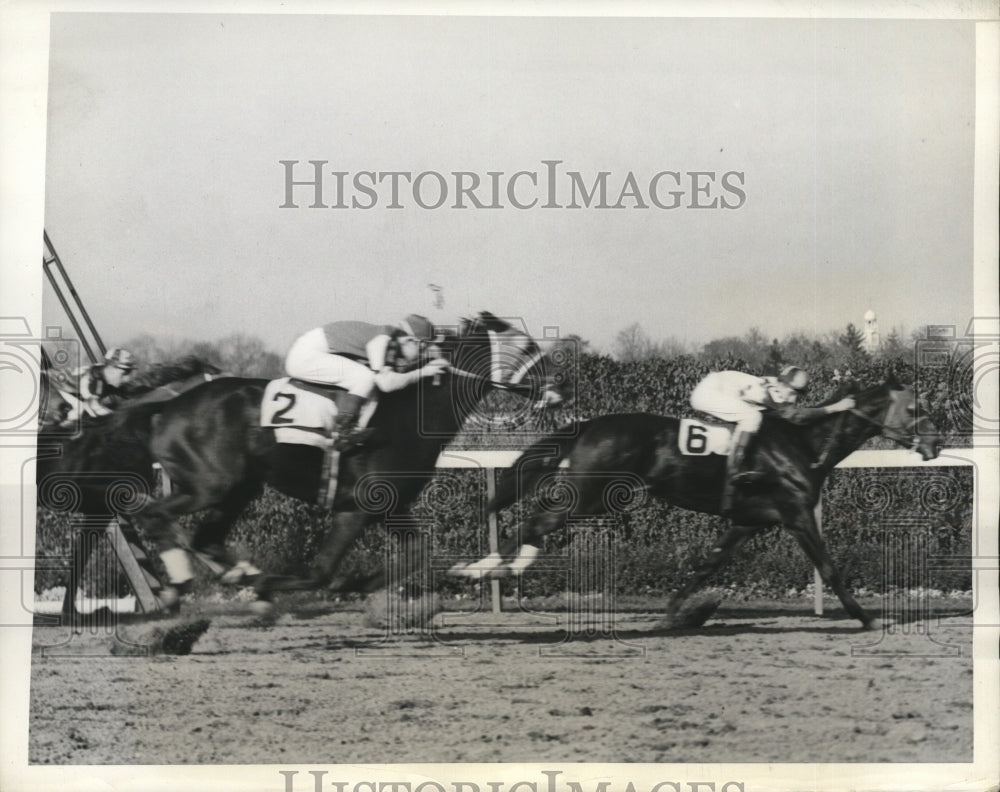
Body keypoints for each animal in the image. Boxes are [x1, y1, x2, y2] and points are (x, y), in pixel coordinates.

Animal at [454, 374, 936, 628]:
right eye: (916, 410)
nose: (933, 446)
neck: (803, 443)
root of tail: (589, 423)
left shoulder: (751, 520)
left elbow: (708, 563)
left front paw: (673, 614)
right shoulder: (797, 515)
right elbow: (830, 567)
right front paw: (868, 618)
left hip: (595, 498)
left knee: (536, 525)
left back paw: (491, 569)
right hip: (589, 494)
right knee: (536, 524)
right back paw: (480, 569)